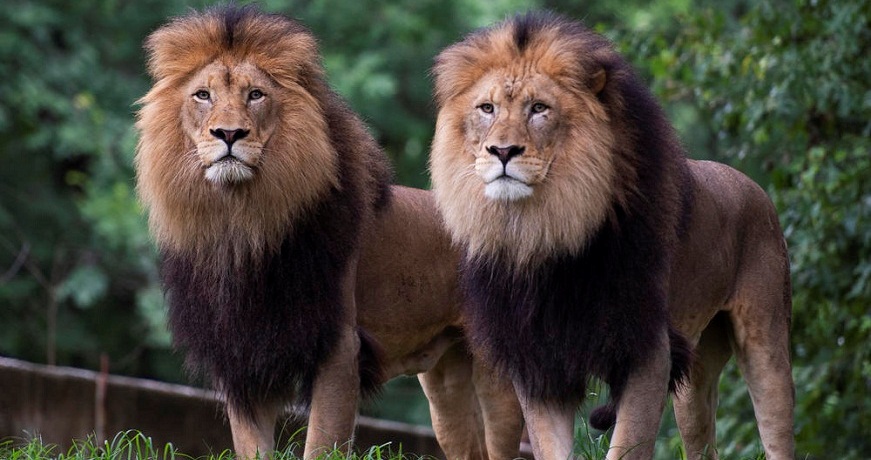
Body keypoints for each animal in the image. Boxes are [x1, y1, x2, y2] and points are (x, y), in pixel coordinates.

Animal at [135, 5, 522, 459]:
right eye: (202, 95)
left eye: (255, 95)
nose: (229, 134)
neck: (241, 224)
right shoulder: (243, 356)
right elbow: (252, 447)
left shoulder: (338, 349)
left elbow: (322, 442)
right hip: (445, 382)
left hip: (495, 375)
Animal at [429, 12, 795, 460]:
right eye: (487, 108)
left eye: (539, 109)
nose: (502, 151)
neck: (543, 232)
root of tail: (755, 187)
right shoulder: (540, 357)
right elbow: (551, 447)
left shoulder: (648, 350)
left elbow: (625, 446)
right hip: (695, 374)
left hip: (766, 342)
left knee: (778, 429)